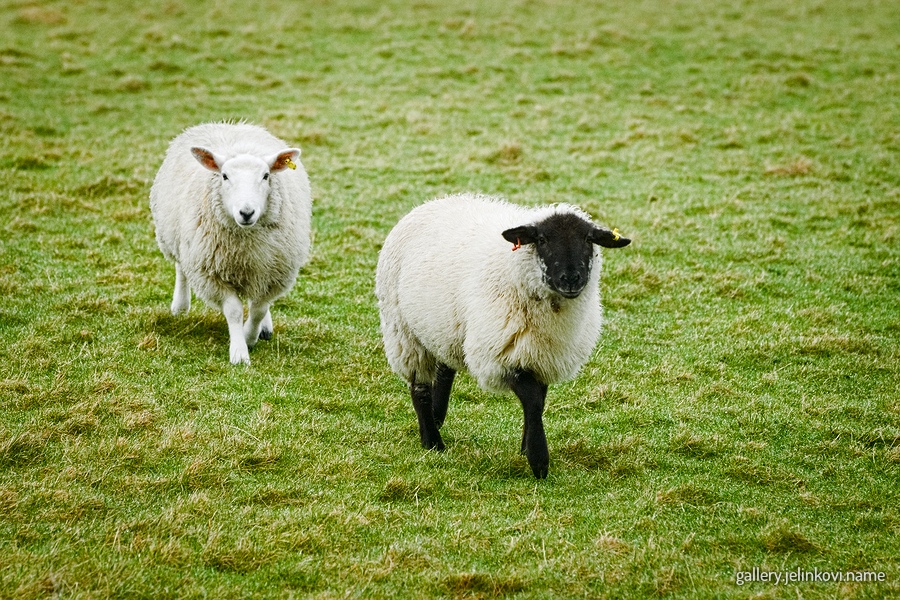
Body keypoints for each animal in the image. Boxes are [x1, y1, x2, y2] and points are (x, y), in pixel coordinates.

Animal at [149, 122, 312, 365]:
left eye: (266, 176)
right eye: (224, 176)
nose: (246, 212)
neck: (247, 244)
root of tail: (228, 124)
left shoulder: (275, 273)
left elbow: (259, 309)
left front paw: (250, 335)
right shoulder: (211, 274)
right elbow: (234, 311)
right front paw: (239, 351)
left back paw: (265, 328)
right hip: (175, 236)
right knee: (181, 268)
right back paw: (180, 306)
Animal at [375, 193, 630, 478]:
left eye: (588, 239)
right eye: (542, 239)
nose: (572, 279)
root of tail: (435, 201)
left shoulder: (542, 355)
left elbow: (539, 400)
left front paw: (526, 448)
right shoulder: (501, 356)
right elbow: (533, 400)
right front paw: (538, 460)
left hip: (444, 327)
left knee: (444, 371)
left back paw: (437, 417)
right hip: (404, 333)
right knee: (418, 388)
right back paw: (432, 441)